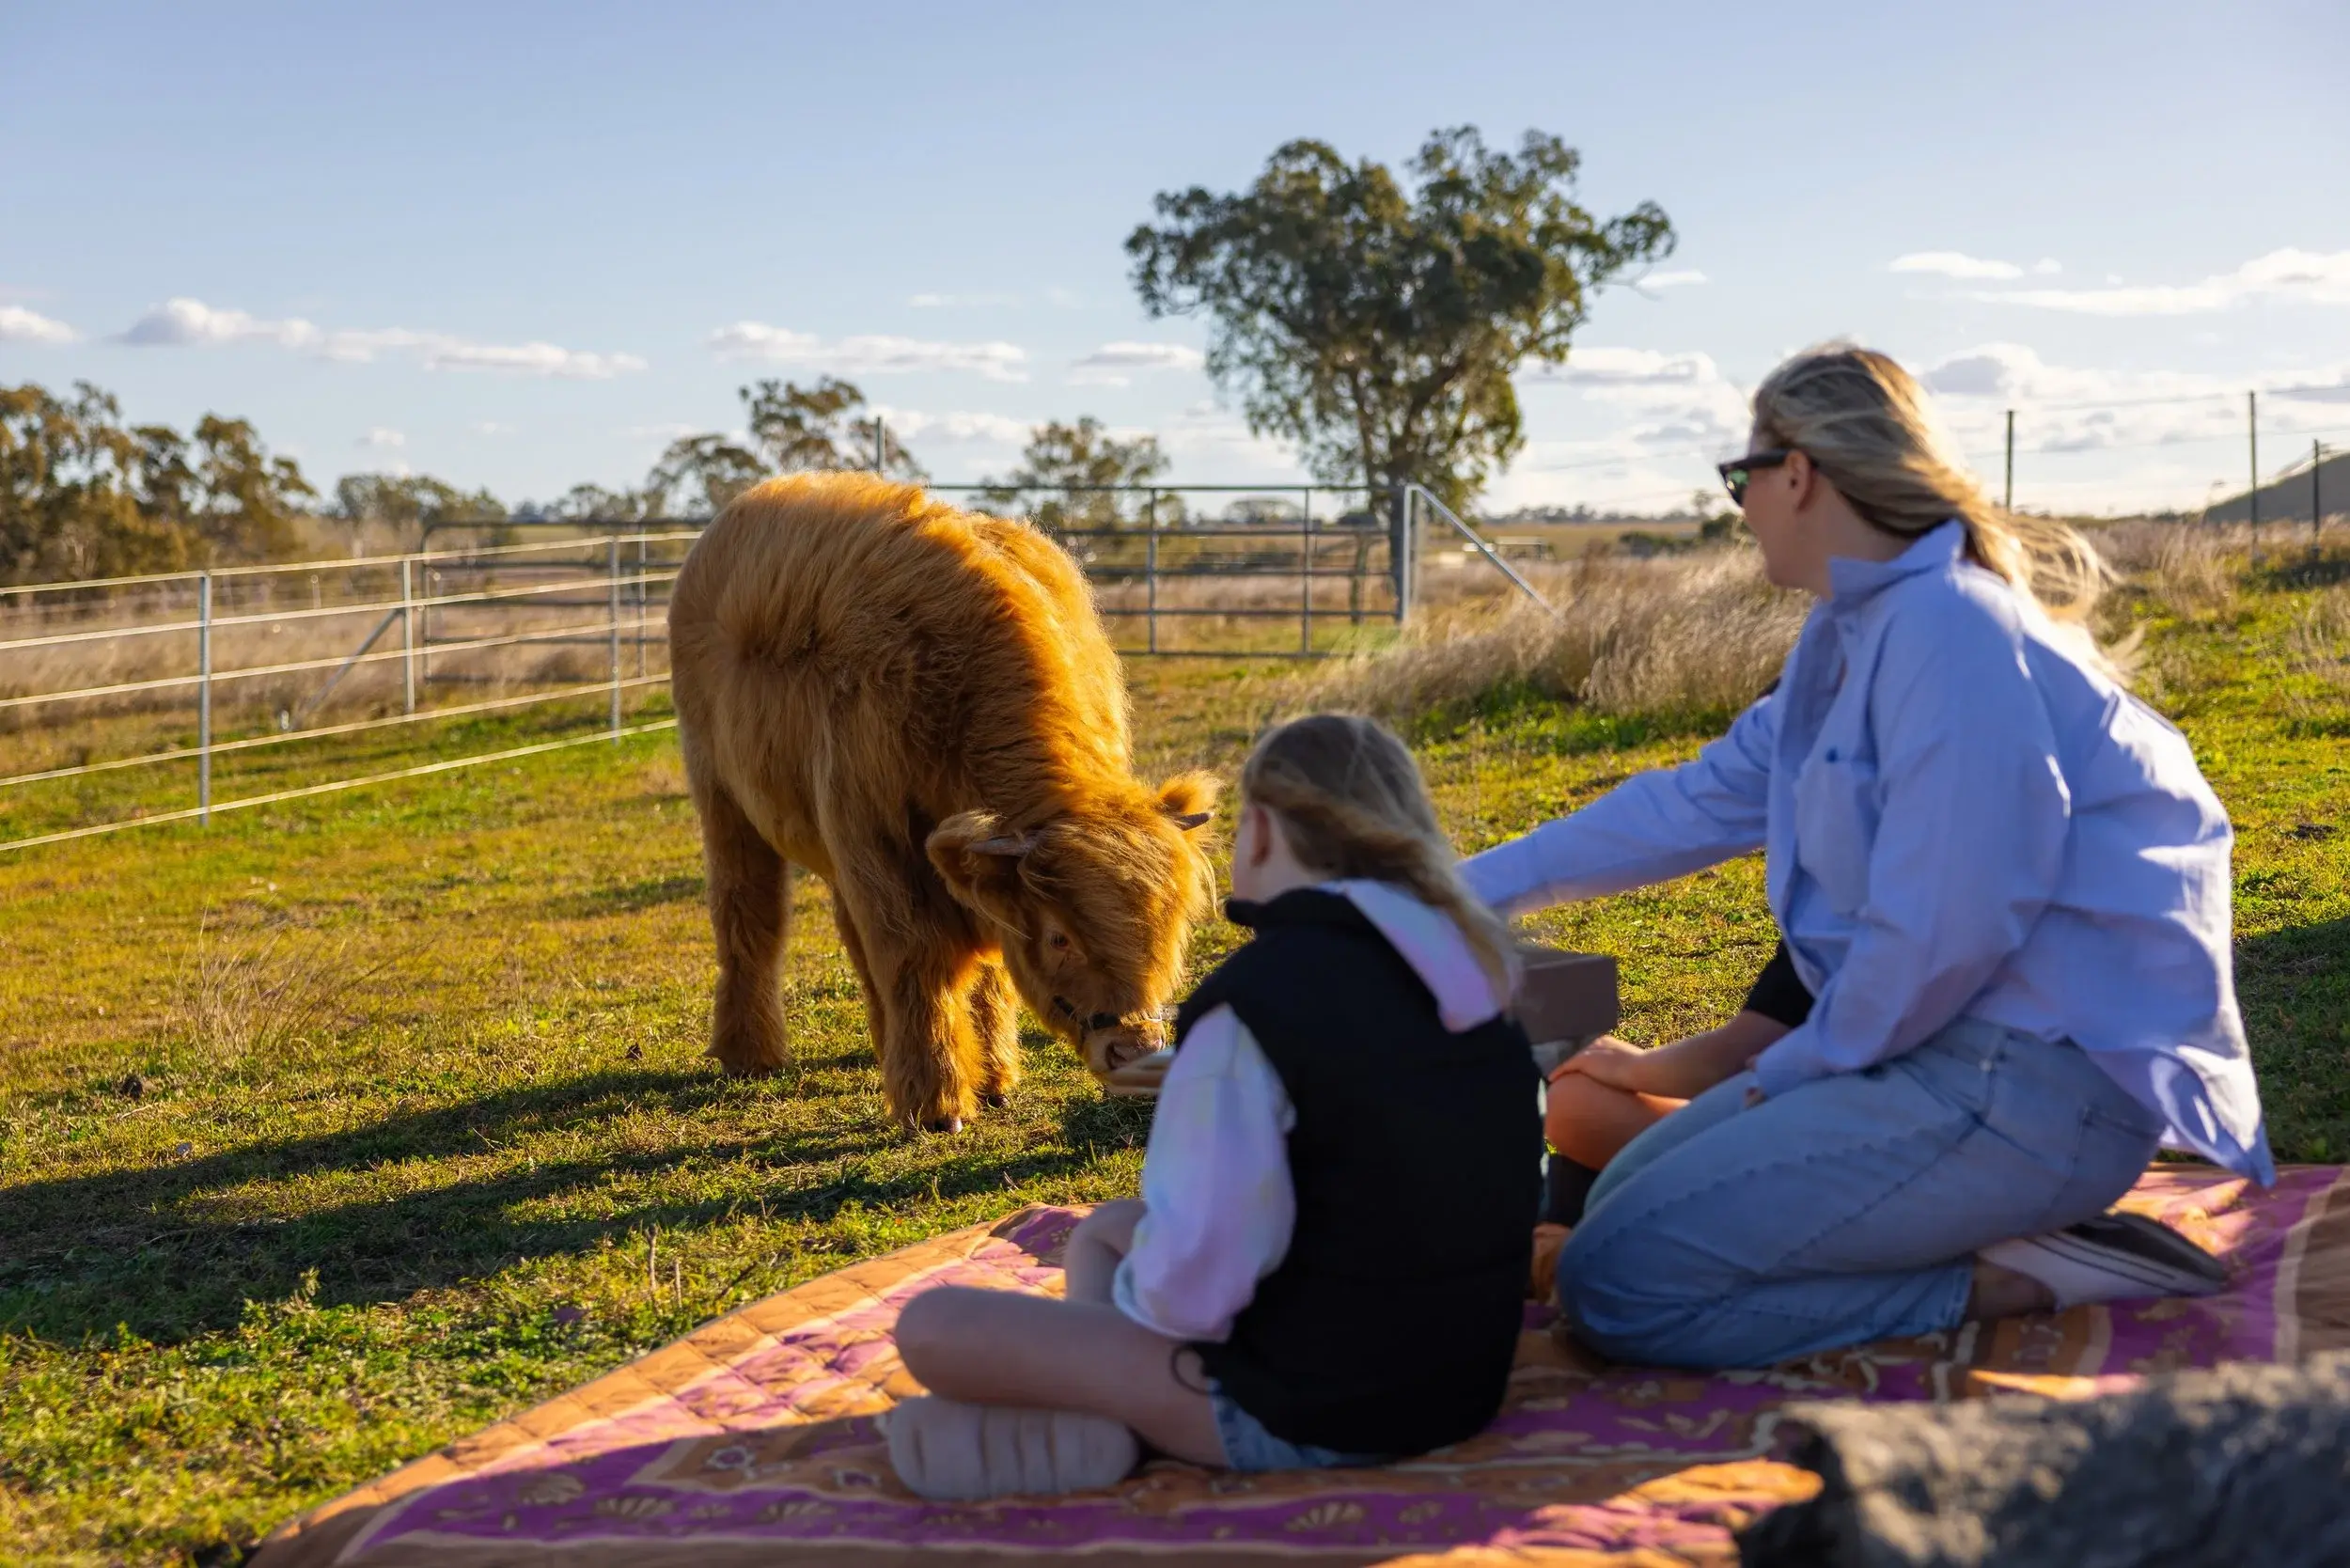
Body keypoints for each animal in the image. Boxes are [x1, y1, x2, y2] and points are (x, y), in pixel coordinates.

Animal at [666, 473, 1219, 1131]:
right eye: (1061, 938)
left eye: (1169, 929)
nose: (1133, 1051)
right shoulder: (879, 845)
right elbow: (917, 959)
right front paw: (937, 1101)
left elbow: (985, 966)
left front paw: (995, 1078)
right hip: (724, 800)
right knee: (749, 915)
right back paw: (750, 1053)